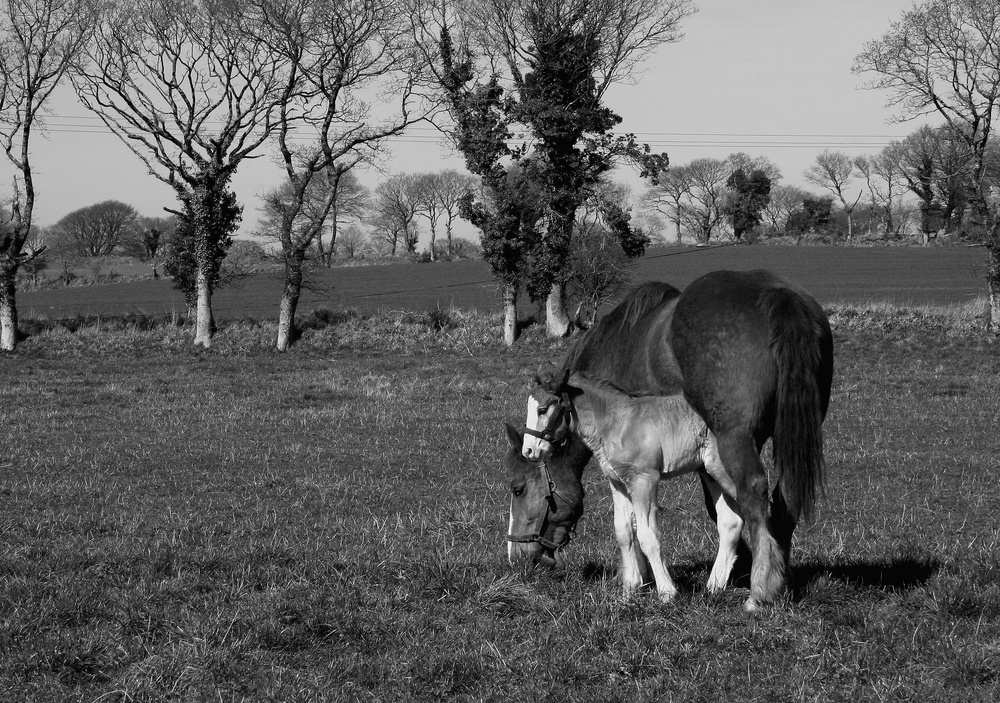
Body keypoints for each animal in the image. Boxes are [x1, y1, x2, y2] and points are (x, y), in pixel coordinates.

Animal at [524, 372, 744, 604]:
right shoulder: (618, 482)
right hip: (711, 474)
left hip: (726, 473)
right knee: (731, 522)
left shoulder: (644, 480)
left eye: (542, 409)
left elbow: (648, 535)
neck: (617, 423)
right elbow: (623, 531)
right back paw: (714, 586)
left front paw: (667, 592)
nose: (528, 451)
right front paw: (630, 590)